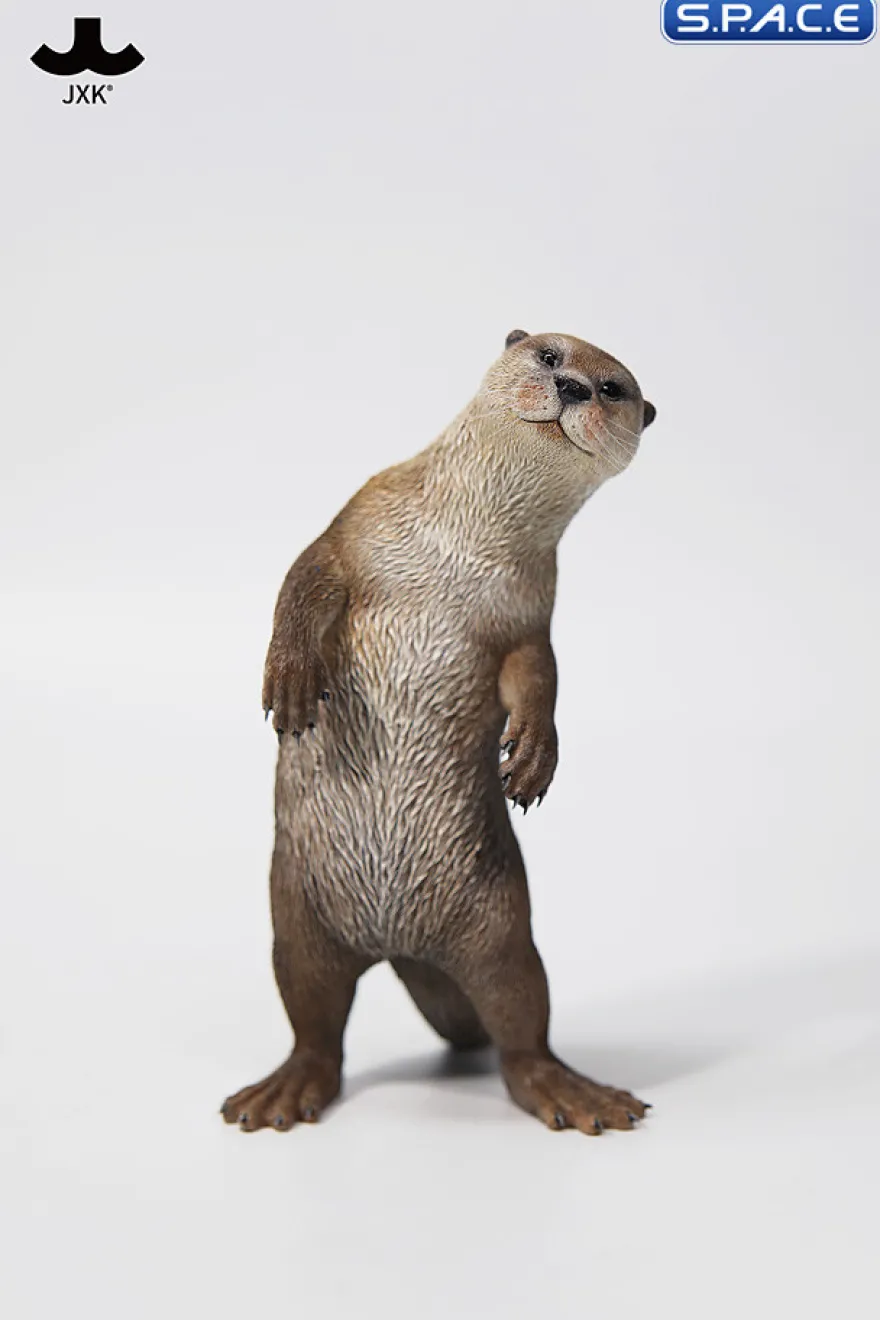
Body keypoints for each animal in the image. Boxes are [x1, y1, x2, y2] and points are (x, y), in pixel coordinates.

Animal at [222, 330, 657, 1136]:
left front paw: (535, 757)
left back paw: (572, 1092)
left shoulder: (530, 609)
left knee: (522, 1025)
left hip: (501, 926)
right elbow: (304, 578)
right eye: (549, 355)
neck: (459, 550)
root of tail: (400, 947)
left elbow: (537, 673)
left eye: (614, 388)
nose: (575, 388)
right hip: (298, 918)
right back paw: (282, 1091)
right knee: (314, 1022)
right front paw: (290, 680)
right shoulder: (357, 522)